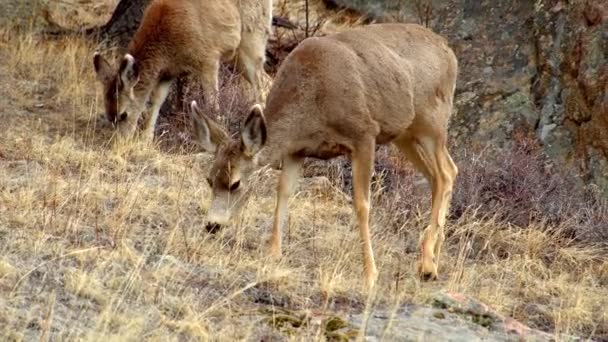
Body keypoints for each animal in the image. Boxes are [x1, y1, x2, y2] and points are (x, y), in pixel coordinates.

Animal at [92, 0, 270, 140]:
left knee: (260, 83)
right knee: (266, 80)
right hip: (237, 56)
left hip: (252, 37)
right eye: (109, 116)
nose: (120, 142)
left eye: (123, 114)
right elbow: (157, 99)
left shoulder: (209, 57)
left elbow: (212, 101)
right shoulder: (168, 71)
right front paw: (146, 138)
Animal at [192, 22, 458, 288]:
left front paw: (370, 274)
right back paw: (431, 259)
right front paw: (273, 252)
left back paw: (427, 264)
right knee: (438, 175)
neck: (311, 103)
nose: (212, 225)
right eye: (209, 179)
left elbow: (362, 204)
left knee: (446, 172)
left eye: (235, 183)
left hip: (433, 119)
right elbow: (283, 191)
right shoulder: (297, 149)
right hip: (405, 133)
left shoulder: (364, 134)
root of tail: (448, 51)